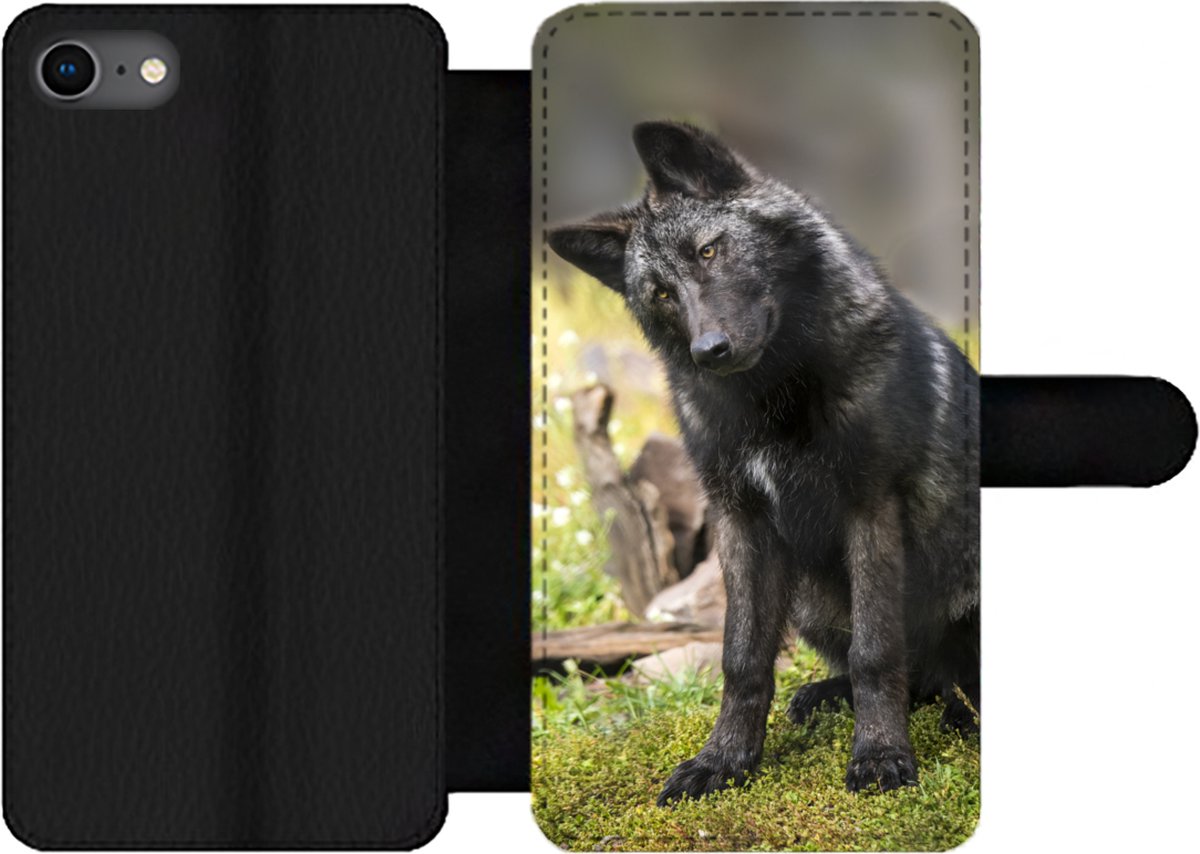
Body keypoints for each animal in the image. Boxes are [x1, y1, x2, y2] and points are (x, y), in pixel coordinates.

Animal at [549, 121, 980, 803]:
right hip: (808, 601)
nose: (710, 350)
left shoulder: (871, 508)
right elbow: (742, 659)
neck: (772, 404)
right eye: (661, 293)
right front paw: (723, 760)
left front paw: (880, 756)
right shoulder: (741, 522)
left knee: (935, 678)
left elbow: (876, 651)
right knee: (920, 681)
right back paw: (831, 697)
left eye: (708, 251)